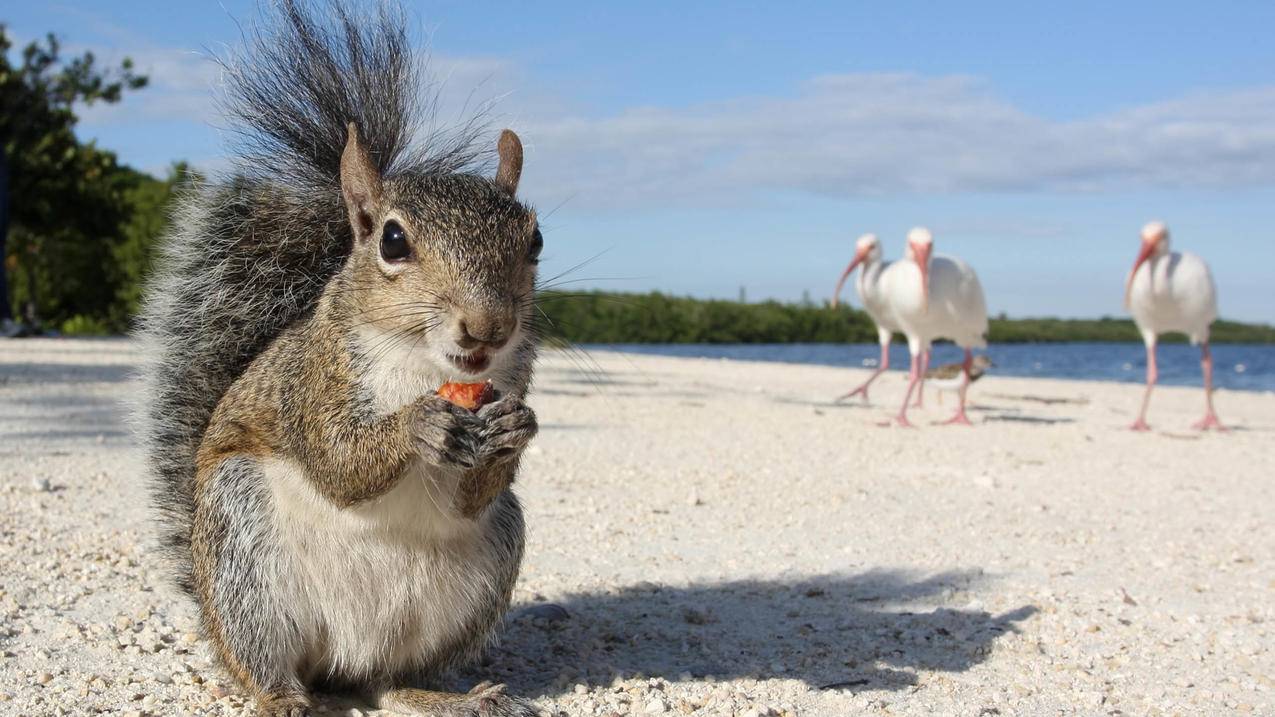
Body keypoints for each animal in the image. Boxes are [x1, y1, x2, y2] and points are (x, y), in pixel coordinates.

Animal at [135, 2, 543, 709]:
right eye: (394, 241)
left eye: (537, 240)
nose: (488, 328)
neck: (423, 366)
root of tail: (341, 663)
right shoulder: (313, 380)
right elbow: (337, 462)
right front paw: (415, 426)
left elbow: (470, 497)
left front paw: (517, 428)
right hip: (243, 556)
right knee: (266, 665)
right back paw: (282, 698)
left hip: (484, 566)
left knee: (391, 681)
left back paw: (448, 698)